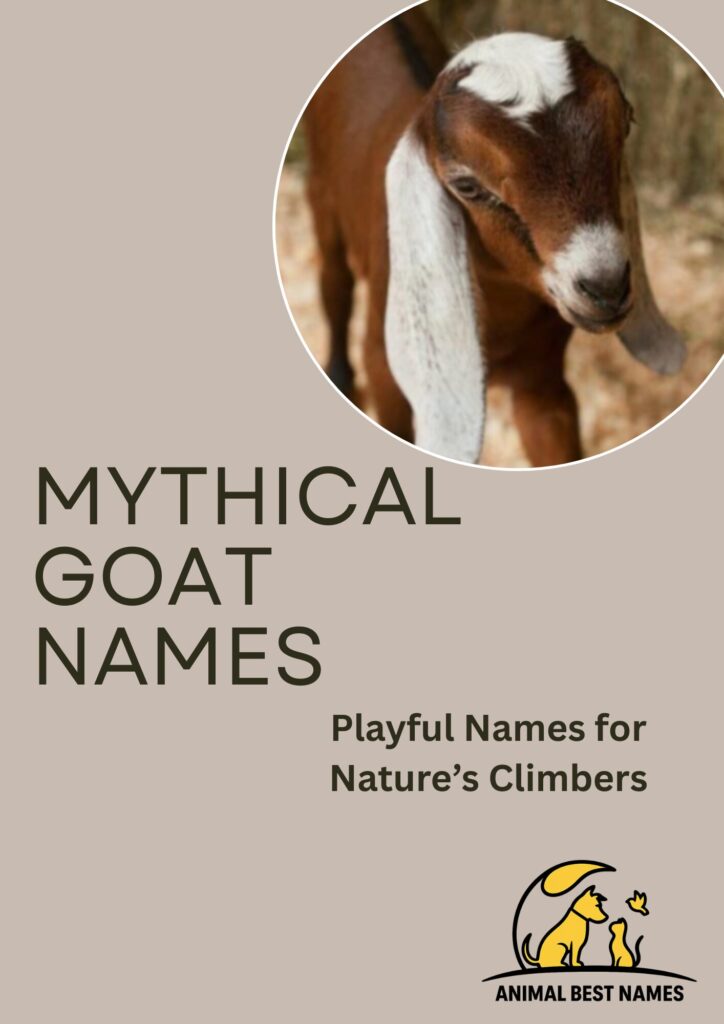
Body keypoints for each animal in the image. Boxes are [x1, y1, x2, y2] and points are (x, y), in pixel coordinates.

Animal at [302, 10, 685, 466]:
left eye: (627, 121)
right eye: (467, 186)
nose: (606, 287)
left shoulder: (543, 381)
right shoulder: (385, 368)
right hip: (322, 191)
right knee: (334, 280)